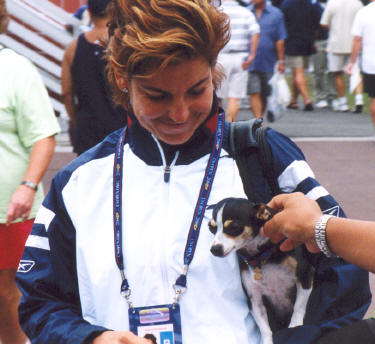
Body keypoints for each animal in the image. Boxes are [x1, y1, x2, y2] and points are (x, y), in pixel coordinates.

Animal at [209, 198, 314, 342]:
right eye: (211, 228)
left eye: (234, 227)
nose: (214, 249)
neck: (261, 257)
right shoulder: (255, 300)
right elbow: (264, 329)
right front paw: (267, 341)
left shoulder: (305, 277)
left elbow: (298, 306)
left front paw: (295, 326)